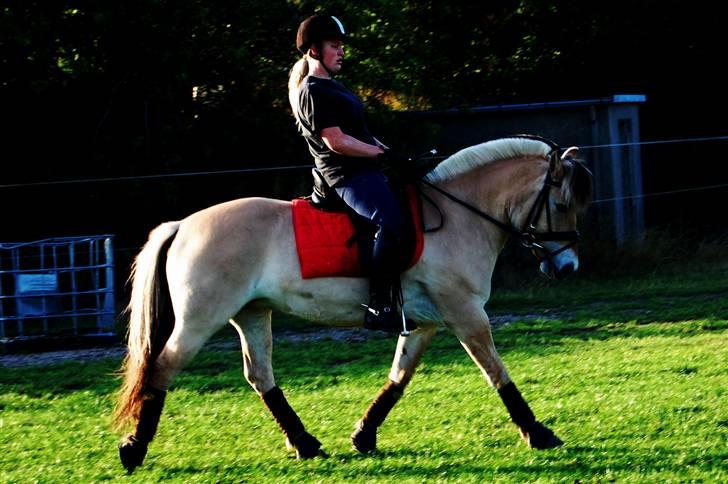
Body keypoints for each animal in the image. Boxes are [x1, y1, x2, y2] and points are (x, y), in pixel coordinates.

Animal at [112, 135, 592, 472]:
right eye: (561, 203)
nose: (567, 267)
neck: (459, 218)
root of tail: (183, 225)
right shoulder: (466, 314)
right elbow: (497, 372)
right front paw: (538, 433)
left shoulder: (425, 322)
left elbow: (399, 377)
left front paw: (364, 435)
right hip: (200, 318)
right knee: (163, 367)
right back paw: (133, 450)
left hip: (252, 314)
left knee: (259, 375)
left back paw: (305, 444)